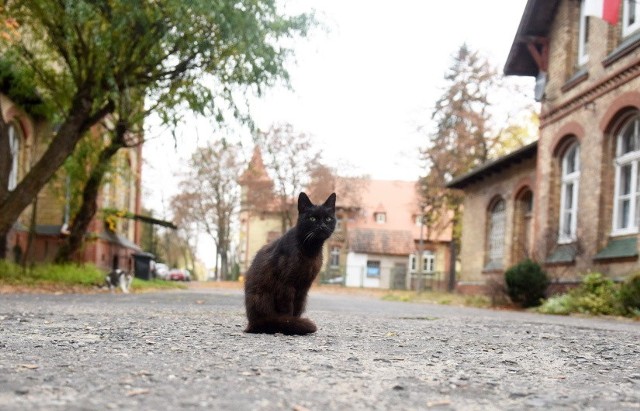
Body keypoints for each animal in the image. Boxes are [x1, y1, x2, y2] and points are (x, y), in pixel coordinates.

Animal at [242, 192, 338, 336]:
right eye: (312, 219)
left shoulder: (303, 287)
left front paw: (295, 324)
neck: (310, 250)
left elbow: (296, 310)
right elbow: (287, 311)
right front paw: (292, 325)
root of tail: (251, 323)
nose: (322, 226)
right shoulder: (286, 285)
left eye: (328, 219)